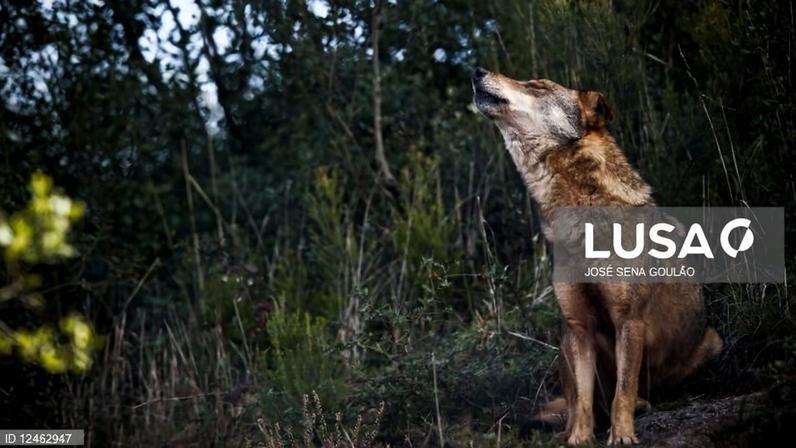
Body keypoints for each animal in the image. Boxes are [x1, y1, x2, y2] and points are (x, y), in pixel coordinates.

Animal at [472, 68, 723, 445]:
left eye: (537, 86)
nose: (477, 71)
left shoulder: (628, 321)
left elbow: (623, 390)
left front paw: (622, 436)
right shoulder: (580, 327)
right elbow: (585, 399)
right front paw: (579, 438)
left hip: (712, 343)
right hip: (564, 340)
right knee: (576, 402)